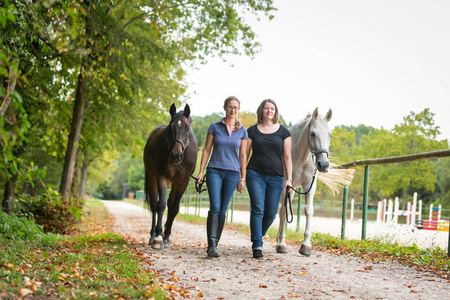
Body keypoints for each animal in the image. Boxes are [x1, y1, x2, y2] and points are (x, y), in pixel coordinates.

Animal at [143, 104, 198, 250]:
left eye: (187, 127)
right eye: (170, 127)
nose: (176, 155)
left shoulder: (183, 181)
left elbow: (174, 208)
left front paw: (166, 237)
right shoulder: (163, 177)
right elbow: (161, 205)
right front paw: (158, 238)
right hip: (152, 178)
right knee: (154, 205)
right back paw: (153, 235)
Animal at [276, 108, 354, 255]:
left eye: (330, 135)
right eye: (312, 133)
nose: (323, 164)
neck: (301, 157)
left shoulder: (310, 186)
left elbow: (309, 210)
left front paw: (306, 246)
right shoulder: (285, 185)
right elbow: (284, 211)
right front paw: (282, 244)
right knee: (280, 210)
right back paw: (278, 242)